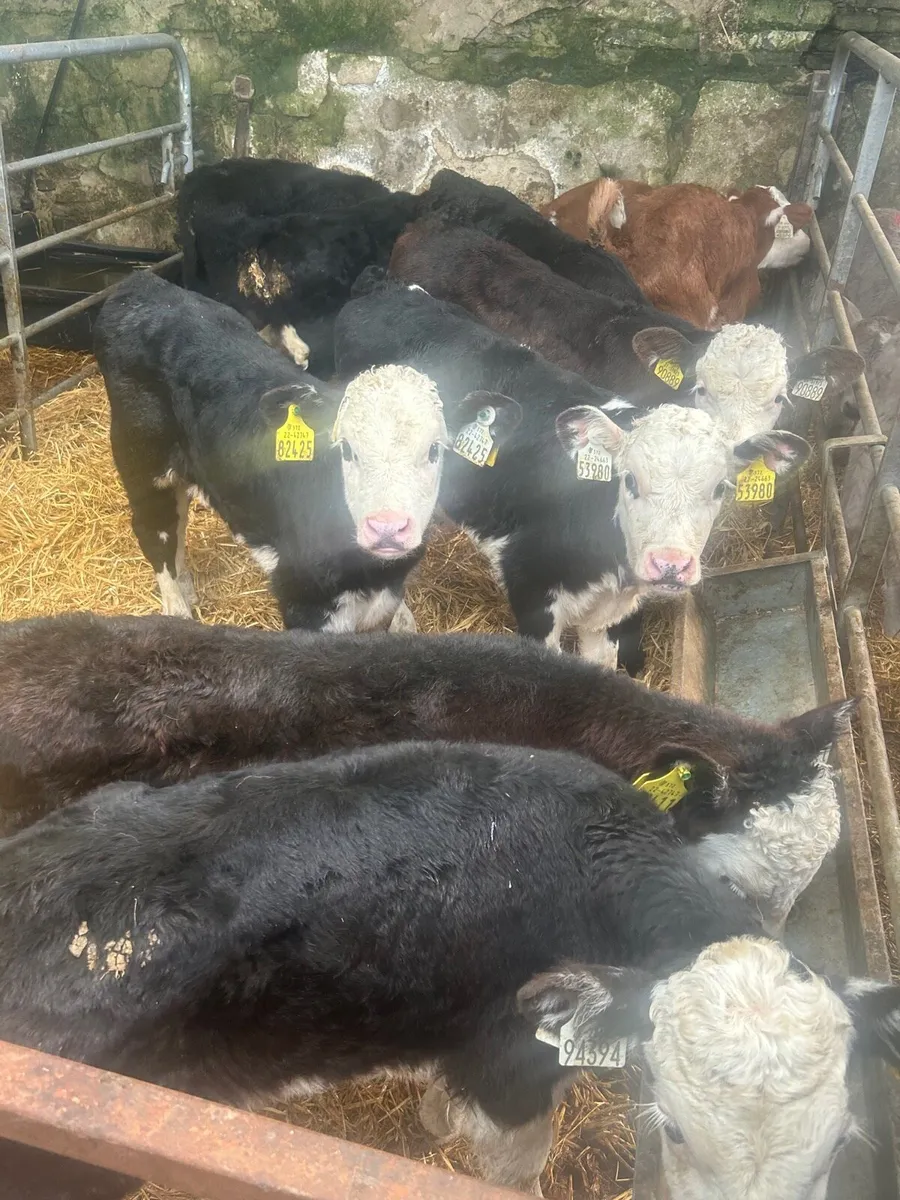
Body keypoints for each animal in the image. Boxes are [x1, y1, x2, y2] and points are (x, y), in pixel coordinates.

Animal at [93, 272, 448, 634]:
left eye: (435, 448)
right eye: (346, 447)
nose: (388, 525)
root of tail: (142, 283)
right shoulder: (302, 599)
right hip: (142, 461)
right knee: (155, 531)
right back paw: (177, 611)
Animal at [334, 275, 812, 664]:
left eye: (718, 488)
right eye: (630, 481)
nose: (670, 565)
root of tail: (381, 290)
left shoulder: (607, 616)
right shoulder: (530, 590)